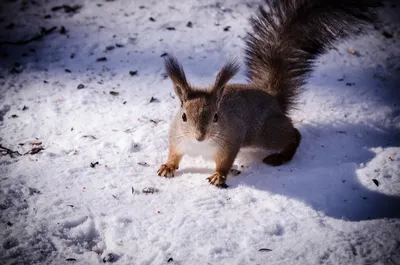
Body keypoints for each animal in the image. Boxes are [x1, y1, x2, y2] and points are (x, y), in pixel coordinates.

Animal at [157, 0, 378, 188]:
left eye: (216, 117)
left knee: (294, 134)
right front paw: (168, 166)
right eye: (183, 117)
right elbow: (174, 155)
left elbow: (225, 162)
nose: (200, 136)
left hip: (267, 133)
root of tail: (274, 100)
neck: (199, 146)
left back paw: (281, 156)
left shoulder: (230, 141)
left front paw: (219, 175)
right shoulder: (176, 139)